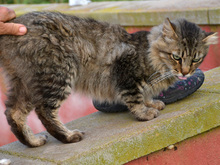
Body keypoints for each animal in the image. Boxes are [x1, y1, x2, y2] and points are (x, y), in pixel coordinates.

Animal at [0, 11, 217, 147]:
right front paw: (144, 113)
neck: (149, 54)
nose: (186, 72)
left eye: (196, 59)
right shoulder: (124, 71)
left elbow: (145, 94)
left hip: (27, 82)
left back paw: (33, 142)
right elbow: (135, 97)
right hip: (58, 74)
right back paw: (68, 136)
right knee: (44, 110)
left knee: (13, 112)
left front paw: (151, 103)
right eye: (176, 57)